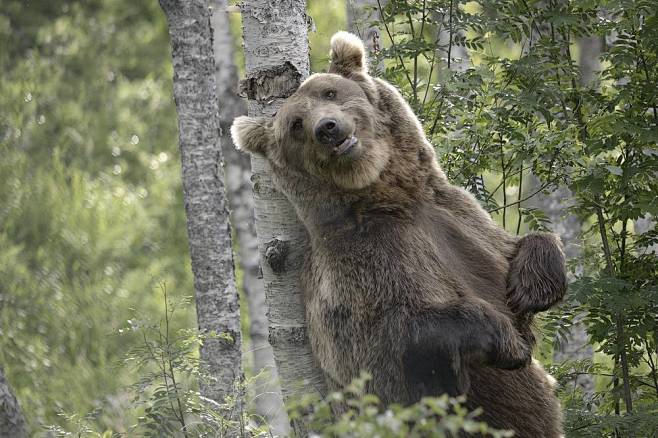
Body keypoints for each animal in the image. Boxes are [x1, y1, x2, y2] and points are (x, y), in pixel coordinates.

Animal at [232, 31, 566, 437]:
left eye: (330, 92)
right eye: (295, 124)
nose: (326, 128)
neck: (388, 199)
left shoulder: (455, 216)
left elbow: (514, 246)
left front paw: (532, 286)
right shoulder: (358, 267)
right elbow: (386, 340)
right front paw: (507, 340)